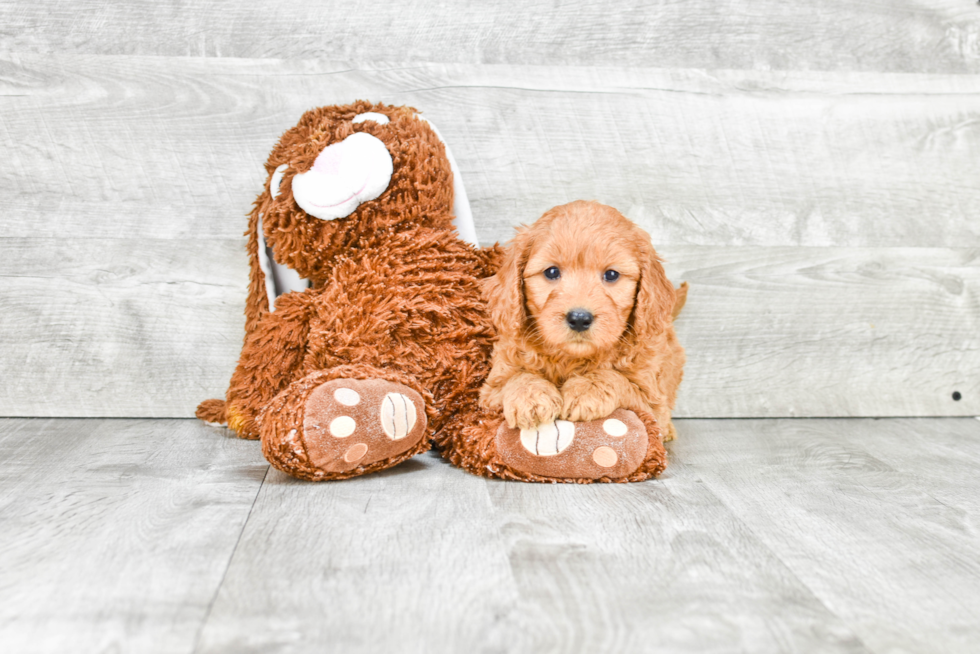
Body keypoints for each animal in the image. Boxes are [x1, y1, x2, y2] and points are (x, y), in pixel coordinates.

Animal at [478, 201, 684, 440]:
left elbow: (616, 379)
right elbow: (516, 377)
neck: (571, 358)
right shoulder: (490, 392)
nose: (579, 318)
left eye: (611, 275)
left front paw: (585, 391)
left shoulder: (652, 404)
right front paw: (531, 397)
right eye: (551, 272)